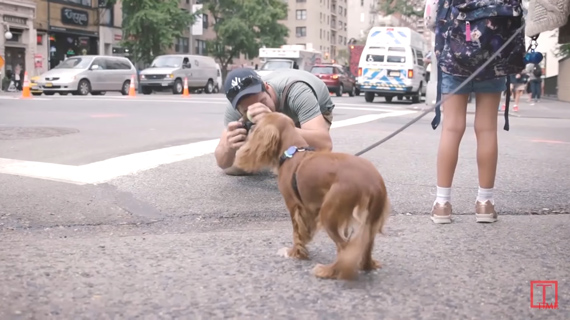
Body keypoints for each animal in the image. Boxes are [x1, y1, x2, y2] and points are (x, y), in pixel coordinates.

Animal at [233, 112, 388, 280]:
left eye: (256, 124)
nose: (246, 122)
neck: (292, 152)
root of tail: (373, 184)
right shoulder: (309, 208)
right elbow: (305, 231)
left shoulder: (294, 205)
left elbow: (296, 232)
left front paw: (295, 253)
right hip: (370, 221)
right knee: (366, 247)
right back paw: (365, 265)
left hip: (329, 214)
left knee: (344, 248)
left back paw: (329, 271)